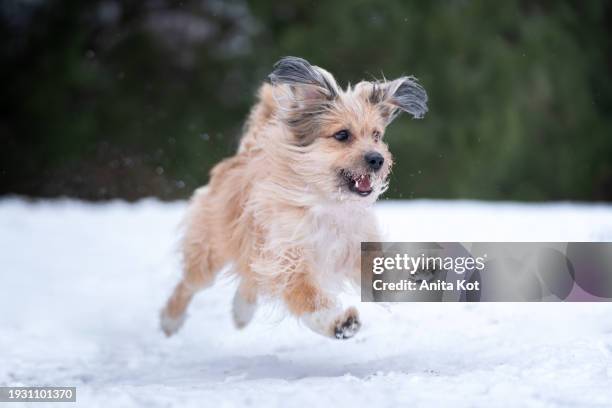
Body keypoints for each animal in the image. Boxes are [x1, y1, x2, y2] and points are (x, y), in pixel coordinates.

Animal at [160, 55, 428, 340]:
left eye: (376, 135)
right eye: (342, 135)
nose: (377, 159)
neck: (328, 203)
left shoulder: (355, 246)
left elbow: (378, 275)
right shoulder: (288, 257)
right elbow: (309, 297)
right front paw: (339, 322)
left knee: (249, 275)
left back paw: (242, 309)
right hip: (211, 248)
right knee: (190, 283)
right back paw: (170, 319)